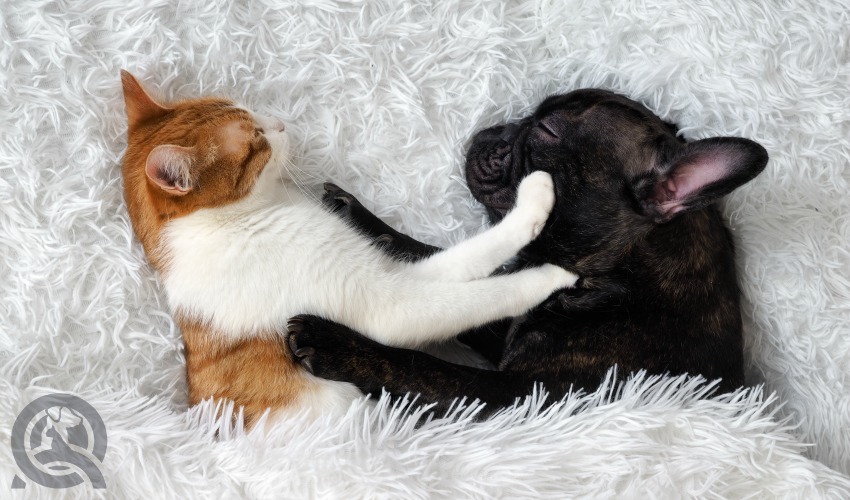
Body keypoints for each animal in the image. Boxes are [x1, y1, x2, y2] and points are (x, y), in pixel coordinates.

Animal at [117, 70, 576, 428]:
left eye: (250, 112)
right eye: (257, 138)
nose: (280, 124)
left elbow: (459, 261)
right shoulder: (386, 301)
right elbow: (483, 287)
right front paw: (548, 267)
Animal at [284, 89, 768, 414]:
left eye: (548, 132)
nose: (491, 130)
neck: (626, 275)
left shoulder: (519, 395)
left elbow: (423, 366)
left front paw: (338, 344)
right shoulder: (509, 326)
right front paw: (360, 219)